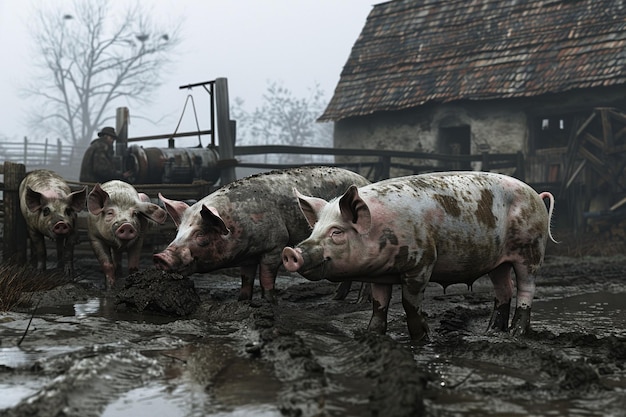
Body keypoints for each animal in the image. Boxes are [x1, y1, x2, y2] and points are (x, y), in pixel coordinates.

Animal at [153, 164, 368, 300]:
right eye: (178, 232)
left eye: (201, 235)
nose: (160, 257)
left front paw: (269, 301)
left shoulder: (276, 246)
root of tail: (365, 179)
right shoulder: (247, 257)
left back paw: (359, 301)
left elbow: (266, 277)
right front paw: (242, 301)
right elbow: (246, 278)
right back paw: (336, 298)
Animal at [282, 171, 556, 340]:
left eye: (337, 232)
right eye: (315, 229)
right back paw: (491, 332)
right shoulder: (379, 276)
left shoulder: (422, 262)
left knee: (526, 288)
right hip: (498, 261)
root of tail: (536, 194)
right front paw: (371, 334)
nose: (291, 252)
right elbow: (379, 305)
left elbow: (409, 304)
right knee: (504, 289)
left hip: (531, 249)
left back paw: (516, 333)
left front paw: (422, 338)